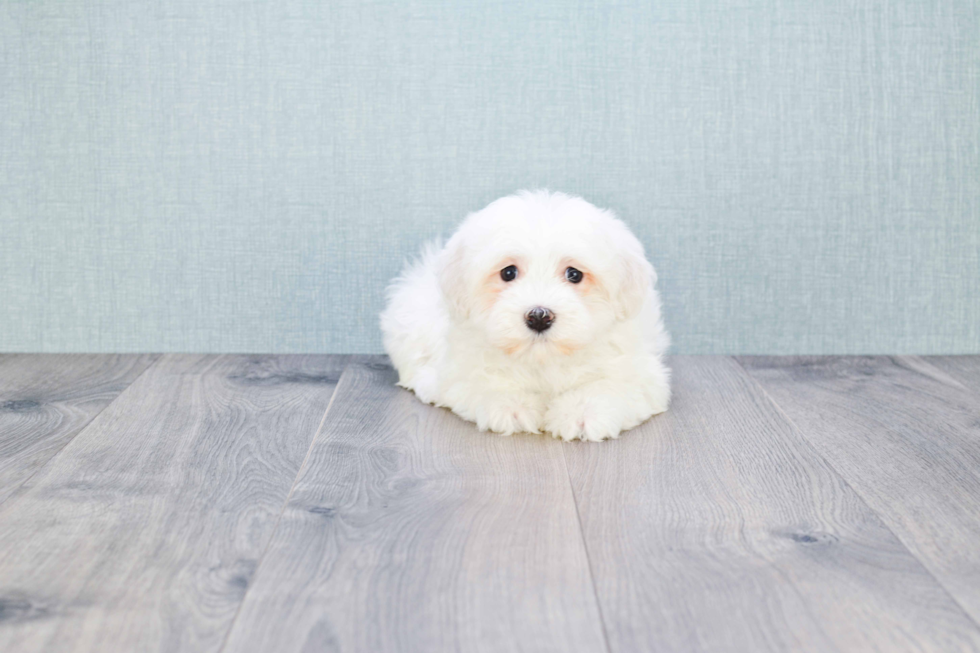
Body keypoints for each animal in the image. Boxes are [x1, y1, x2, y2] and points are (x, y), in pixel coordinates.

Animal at [378, 191, 668, 440]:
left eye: (574, 274)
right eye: (508, 272)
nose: (539, 316)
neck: (543, 359)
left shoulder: (637, 371)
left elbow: (610, 385)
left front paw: (583, 412)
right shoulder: (461, 367)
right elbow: (485, 381)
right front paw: (512, 406)